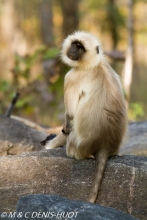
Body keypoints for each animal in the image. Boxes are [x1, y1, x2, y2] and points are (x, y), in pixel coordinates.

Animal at [41, 30, 127, 203]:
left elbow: (70, 119)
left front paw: (50, 142)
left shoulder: (71, 77)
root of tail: (105, 145)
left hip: (77, 146)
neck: (93, 64)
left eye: (81, 48)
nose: (73, 50)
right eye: (75, 44)